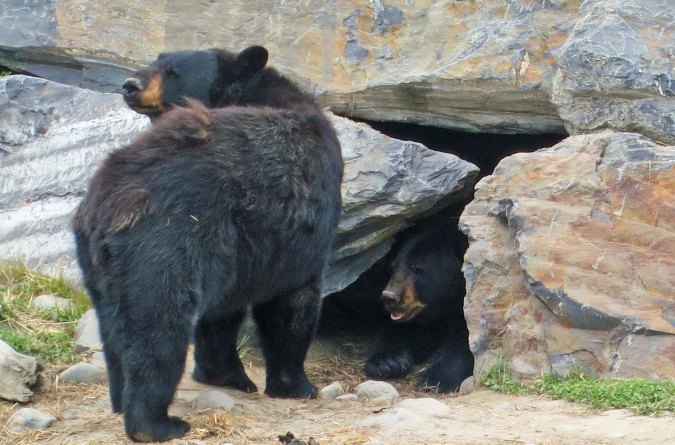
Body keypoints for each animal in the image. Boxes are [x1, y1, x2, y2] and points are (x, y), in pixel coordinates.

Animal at [73, 45, 343, 442]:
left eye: (171, 70)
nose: (130, 85)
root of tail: (115, 201)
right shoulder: (296, 232)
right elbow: (292, 301)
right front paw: (296, 386)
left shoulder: (235, 253)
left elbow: (220, 314)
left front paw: (228, 376)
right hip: (163, 247)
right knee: (158, 329)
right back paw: (156, 423)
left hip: (97, 261)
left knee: (113, 327)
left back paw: (120, 400)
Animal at [362, 217, 474, 393]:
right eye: (393, 265)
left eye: (417, 268)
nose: (389, 297)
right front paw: (387, 362)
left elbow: (465, 342)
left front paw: (436, 377)